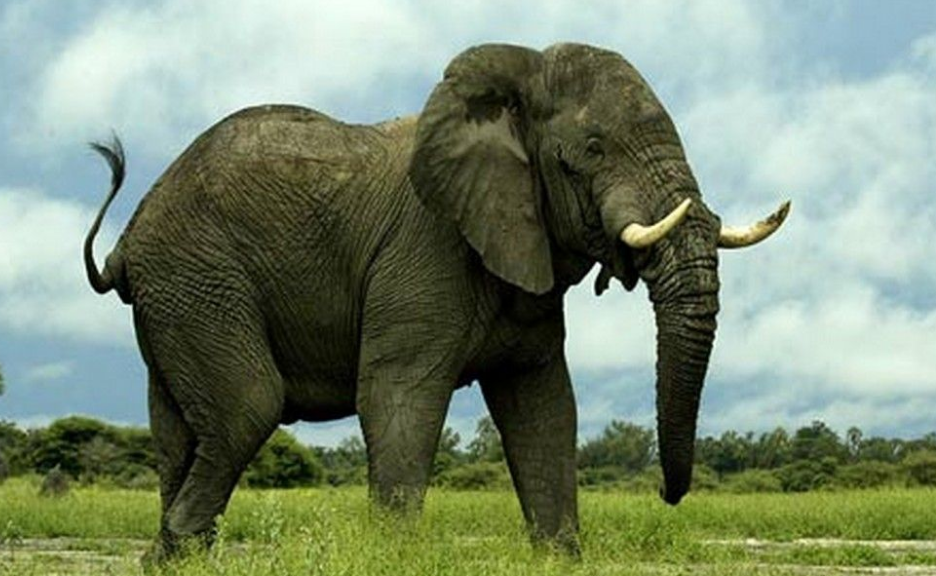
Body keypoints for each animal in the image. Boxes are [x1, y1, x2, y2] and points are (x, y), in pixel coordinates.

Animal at [83, 42, 789, 557]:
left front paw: (559, 557)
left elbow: (545, 408)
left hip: (177, 295)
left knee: (179, 432)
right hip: (198, 277)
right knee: (245, 410)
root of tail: (129, 235)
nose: (668, 495)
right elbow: (398, 397)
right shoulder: (425, 249)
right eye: (592, 150)